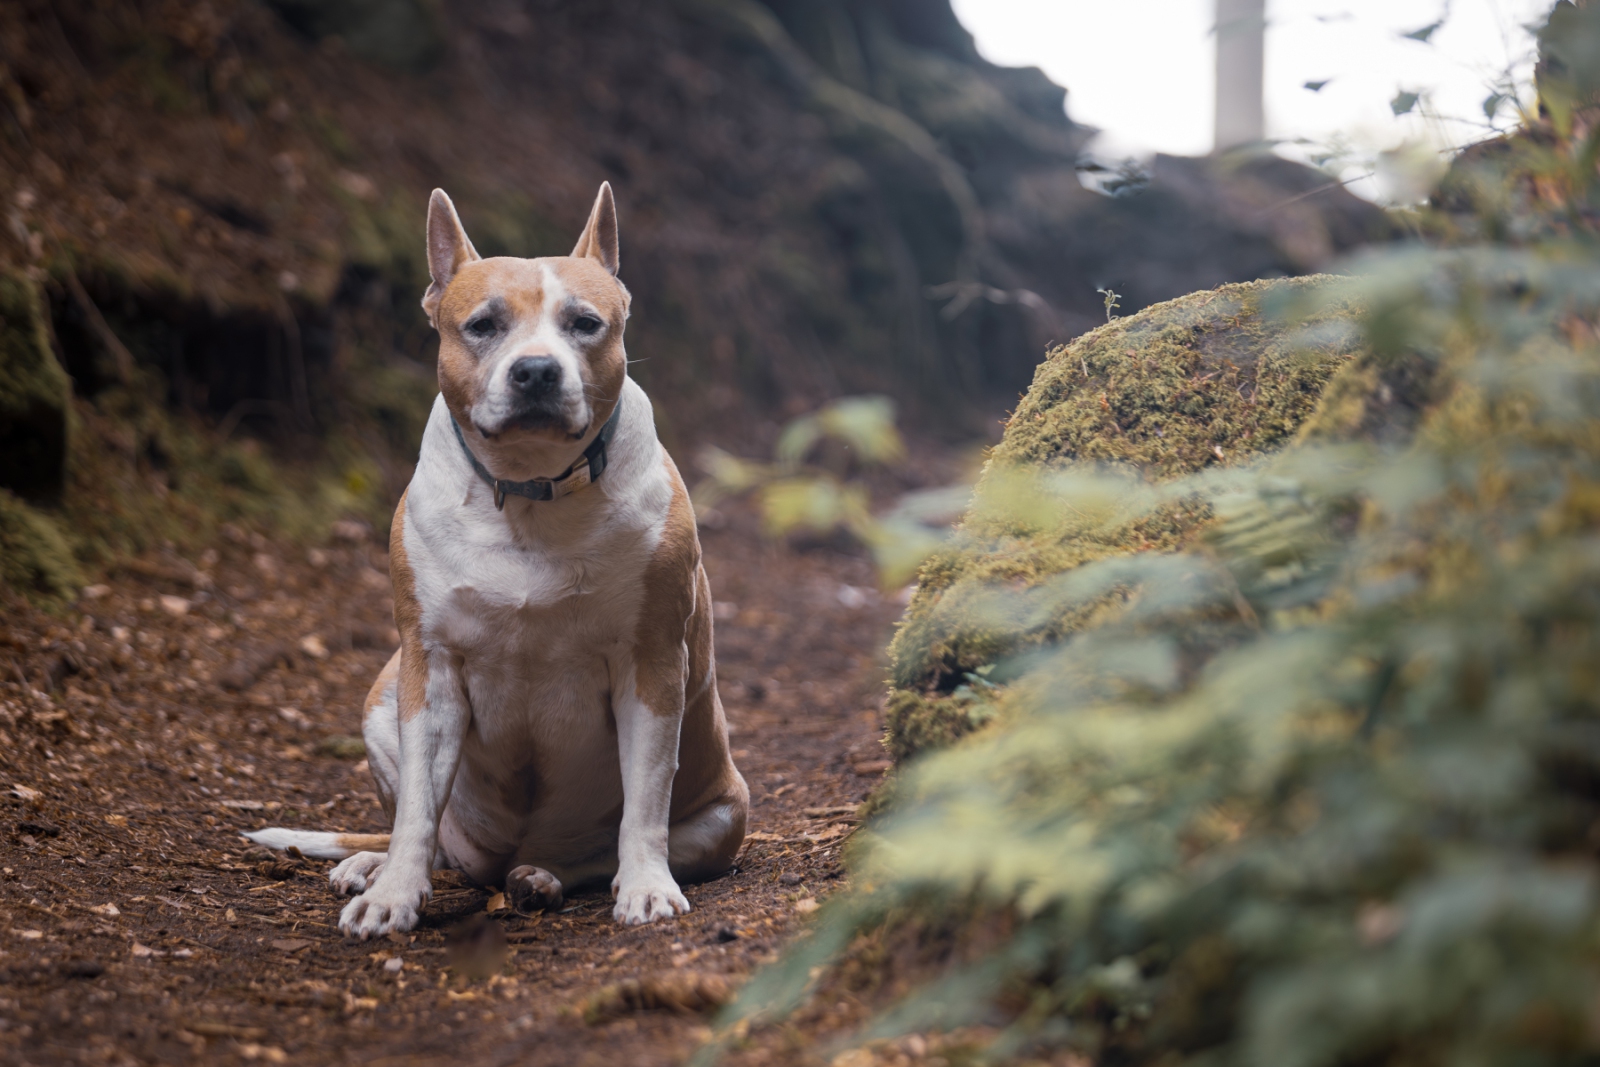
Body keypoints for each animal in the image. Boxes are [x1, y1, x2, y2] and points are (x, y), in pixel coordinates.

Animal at [248, 187, 748, 940]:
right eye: (482, 325)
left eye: (585, 324)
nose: (536, 369)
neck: (528, 490)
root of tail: (502, 855)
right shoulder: (431, 669)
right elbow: (417, 810)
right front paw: (393, 893)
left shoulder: (652, 665)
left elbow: (644, 804)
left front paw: (647, 887)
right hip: (384, 695)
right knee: (431, 837)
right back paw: (373, 864)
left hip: (725, 814)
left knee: (596, 851)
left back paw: (543, 876)